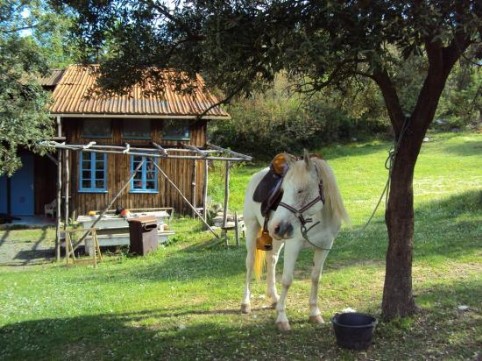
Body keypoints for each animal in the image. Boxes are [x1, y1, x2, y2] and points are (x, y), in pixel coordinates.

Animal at [240, 148, 346, 330]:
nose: (276, 226)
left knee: (272, 259)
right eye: (282, 190)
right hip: (252, 228)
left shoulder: (324, 246)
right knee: (250, 263)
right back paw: (246, 303)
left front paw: (314, 313)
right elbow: (287, 280)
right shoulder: (293, 246)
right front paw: (282, 318)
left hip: (277, 239)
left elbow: (316, 278)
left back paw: (274, 298)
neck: (317, 218)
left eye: (300, 190)